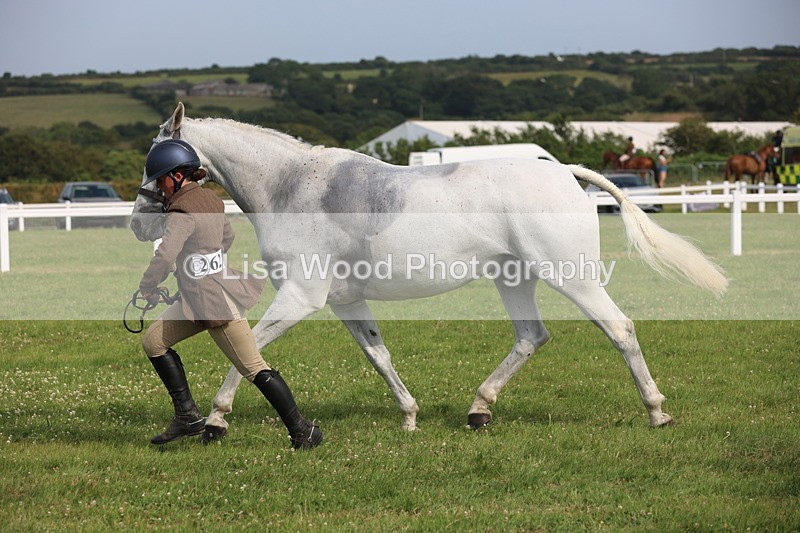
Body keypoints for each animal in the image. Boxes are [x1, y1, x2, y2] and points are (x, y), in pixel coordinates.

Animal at [130, 103, 728, 439]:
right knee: (531, 337)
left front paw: (215, 419)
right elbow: (379, 358)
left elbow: (249, 352)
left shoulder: (300, 298)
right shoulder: (347, 302)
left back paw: (657, 413)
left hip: (571, 276)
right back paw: (479, 410)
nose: (139, 223)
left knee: (618, 328)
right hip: (514, 279)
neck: (292, 189)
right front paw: (410, 417)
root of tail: (566, 173)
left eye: (157, 162)